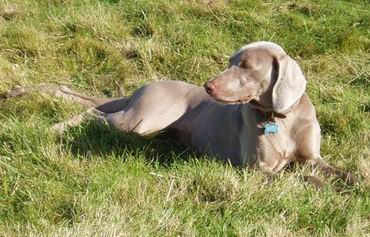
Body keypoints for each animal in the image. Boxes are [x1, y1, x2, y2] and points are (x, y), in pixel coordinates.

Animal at [3, 40, 356, 185]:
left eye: (244, 66)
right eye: (230, 61)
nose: (208, 86)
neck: (279, 118)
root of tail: (144, 86)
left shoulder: (312, 158)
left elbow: (337, 171)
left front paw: (355, 183)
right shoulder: (256, 170)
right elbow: (297, 179)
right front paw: (320, 187)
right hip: (141, 120)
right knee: (93, 114)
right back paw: (54, 128)